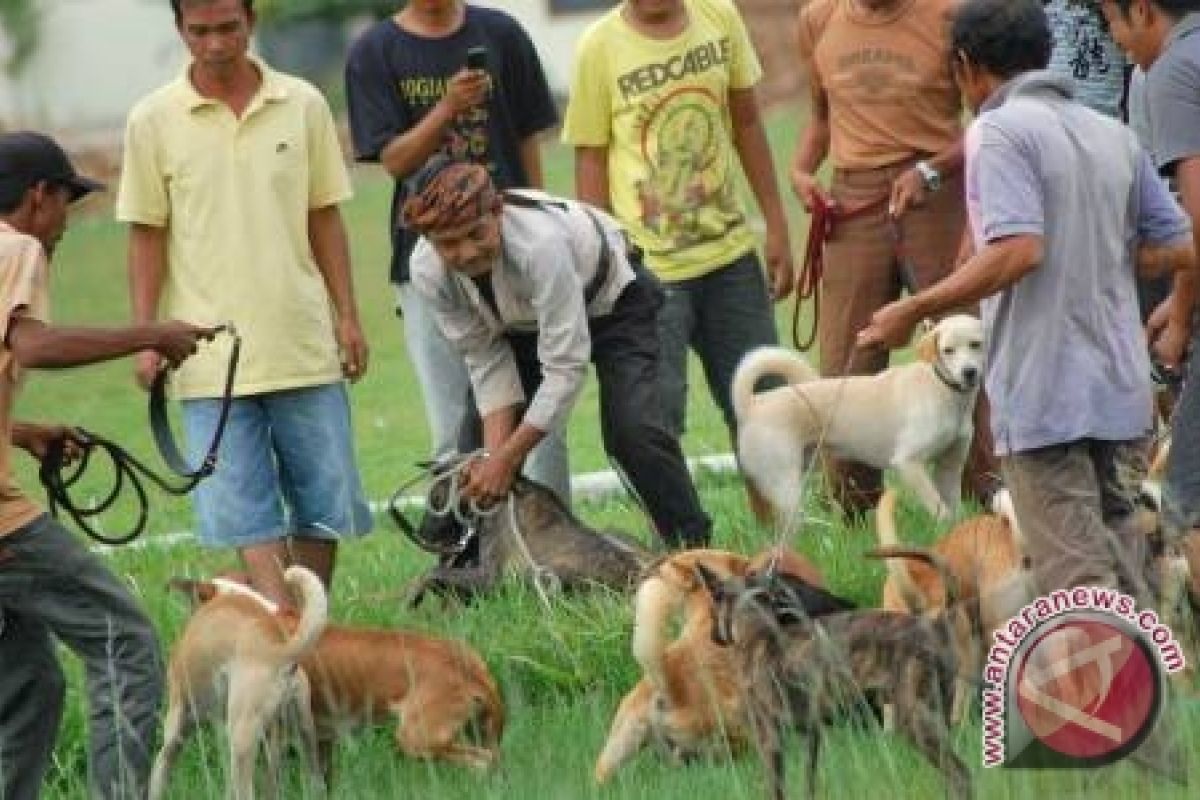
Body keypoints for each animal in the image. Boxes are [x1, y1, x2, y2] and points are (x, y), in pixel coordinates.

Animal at [150, 563, 328, 800]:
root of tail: (279, 649)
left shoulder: (178, 719)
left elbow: (161, 768)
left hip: (242, 735)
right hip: (303, 731)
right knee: (313, 779)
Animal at [410, 453, 657, 604]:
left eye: (434, 498)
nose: (421, 534)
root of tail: (638, 578)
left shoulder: (491, 578)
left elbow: (431, 573)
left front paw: (413, 597)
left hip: (537, 578)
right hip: (615, 533)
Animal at [700, 546, 969, 800]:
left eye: (712, 608)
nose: (712, 636)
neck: (758, 628)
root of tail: (933, 626)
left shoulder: (770, 740)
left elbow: (776, 790)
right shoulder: (811, 735)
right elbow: (808, 784)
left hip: (916, 720)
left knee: (960, 773)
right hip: (938, 717)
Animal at [729, 311, 984, 525]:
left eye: (976, 344)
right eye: (948, 350)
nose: (969, 372)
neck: (942, 389)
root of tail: (753, 404)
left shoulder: (950, 467)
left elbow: (952, 507)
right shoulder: (908, 462)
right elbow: (939, 507)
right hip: (785, 486)